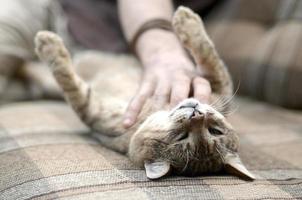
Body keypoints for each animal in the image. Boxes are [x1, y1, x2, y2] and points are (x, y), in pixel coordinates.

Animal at [34, 6, 255, 180]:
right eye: (216, 131)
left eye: (182, 137)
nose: (197, 113)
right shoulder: (217, 89)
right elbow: (211, 59)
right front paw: (187, 19)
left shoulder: (93, 111)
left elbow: (70, 83)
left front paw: (48, 44)